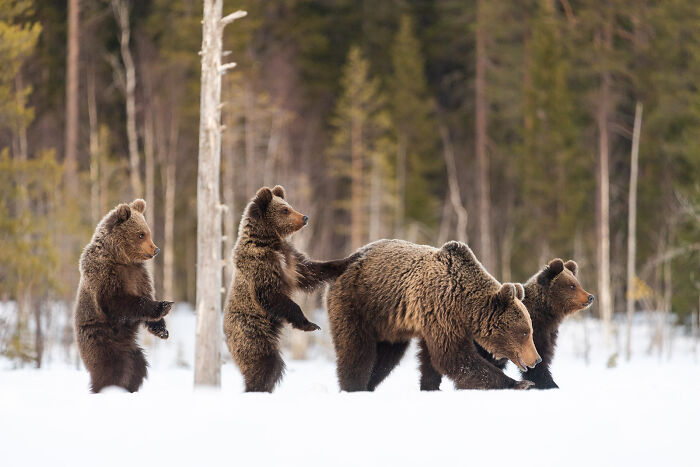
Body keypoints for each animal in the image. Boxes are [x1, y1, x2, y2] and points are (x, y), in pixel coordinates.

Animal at [74, 199, 173, 393]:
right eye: (141, 234)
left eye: (147, 232)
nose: (156, 249)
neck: (121, 259)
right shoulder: (106, 276)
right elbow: (120, 303)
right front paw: (162, 306)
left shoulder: (139, 274)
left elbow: (145, 296)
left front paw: (162, 329)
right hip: (102, 339)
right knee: (112, 368)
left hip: (132, 350)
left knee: (137, 366)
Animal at [223, 185, 360, 392]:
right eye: (285, 210)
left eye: (289, 205)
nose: (305, 217)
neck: (270, 242)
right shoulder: (261, 268)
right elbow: (274, 297)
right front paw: (310, 324)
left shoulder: (291, 261)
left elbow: (311, 270)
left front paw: (349, 259)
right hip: (250, 330)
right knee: (264, 362)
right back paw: (256, 386)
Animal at [326, 239, 541, 391]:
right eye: (524, 332)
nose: (536, 359)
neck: (463, 305)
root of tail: (347, 260)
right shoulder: (441, 310)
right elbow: (453, 357)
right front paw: (519, 383)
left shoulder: (432, 319)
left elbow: (432, 359)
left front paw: (431, 386)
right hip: (356, 303)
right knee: (356, 349)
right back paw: (354, 387)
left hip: (389, 325)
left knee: (386, 358)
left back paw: (370, 384)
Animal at [419, 258, 594, 391]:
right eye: (571, 286)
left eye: (577, 283)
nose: (590, 297)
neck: (547, 315)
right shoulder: (531, 336)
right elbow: (537, 367)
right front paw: (549, 385)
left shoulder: (545, 334)